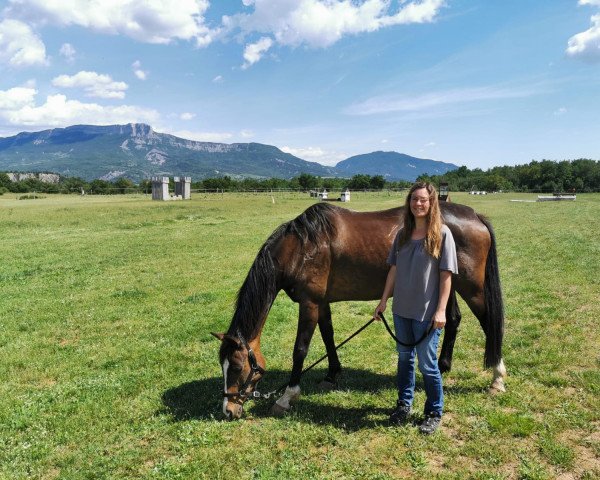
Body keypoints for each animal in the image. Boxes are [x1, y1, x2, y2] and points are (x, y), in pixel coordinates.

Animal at [212, 202, 506, 420]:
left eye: (236, 367)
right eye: (222, 365)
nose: (228, 411)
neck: (301, 246)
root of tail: (475, 216)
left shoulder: (309, 303)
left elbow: (300, 349)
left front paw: (287, 397)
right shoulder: (322, 303)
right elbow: (328, 336)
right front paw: (332, 375)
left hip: (472, 288)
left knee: (490, 324)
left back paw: (497, 378)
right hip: (447, 286)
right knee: (451, 320)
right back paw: (442, 367)